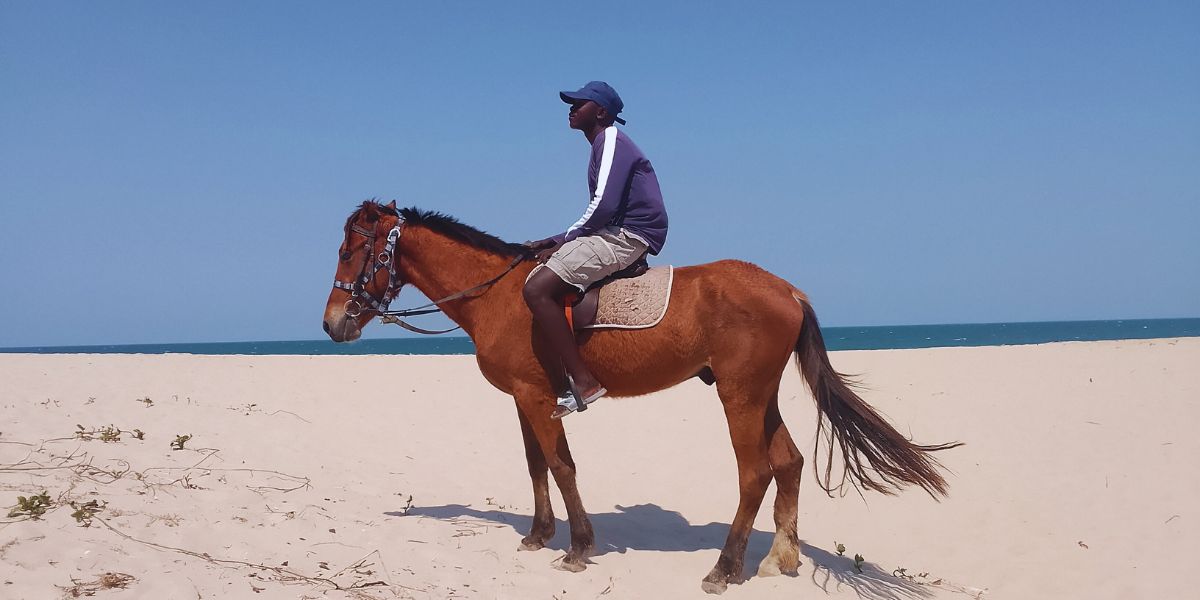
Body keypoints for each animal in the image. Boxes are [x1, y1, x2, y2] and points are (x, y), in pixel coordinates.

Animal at [322, 200, 960, 594]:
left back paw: (725, 568)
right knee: (789, 462)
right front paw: (538, 535)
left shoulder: (538, 397)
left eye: (351, 251)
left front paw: (578, 547)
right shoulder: (524, 398)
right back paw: (779, 558)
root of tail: (787, 289)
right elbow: (536, 465)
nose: (331, 325)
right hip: (762, 395)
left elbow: (561, 465)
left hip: (740, 397)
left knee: (755, 472)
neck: (498, 294)